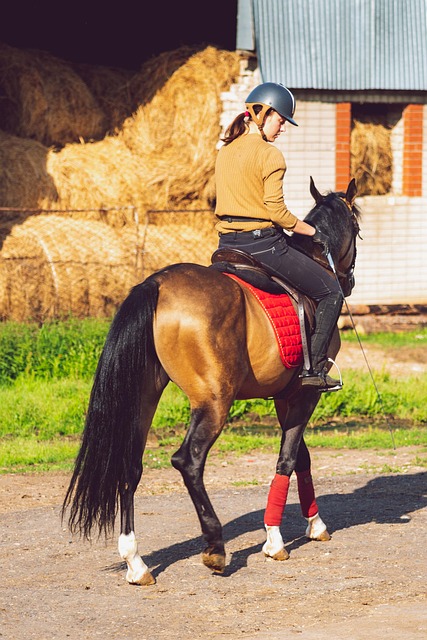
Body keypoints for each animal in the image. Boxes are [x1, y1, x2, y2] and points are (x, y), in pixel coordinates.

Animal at [61, 176, 362, 584]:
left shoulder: (285, 396)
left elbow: (301, 456)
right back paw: (215, 548)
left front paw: (313, 524)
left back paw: (136, 562)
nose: (348, 281)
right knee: (188, 461)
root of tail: (157, 284)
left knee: (131, 466)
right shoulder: (303, 394)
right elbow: (287, 459)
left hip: (144, 398)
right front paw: (276, 539)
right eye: (358, 230)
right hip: (215, 401)